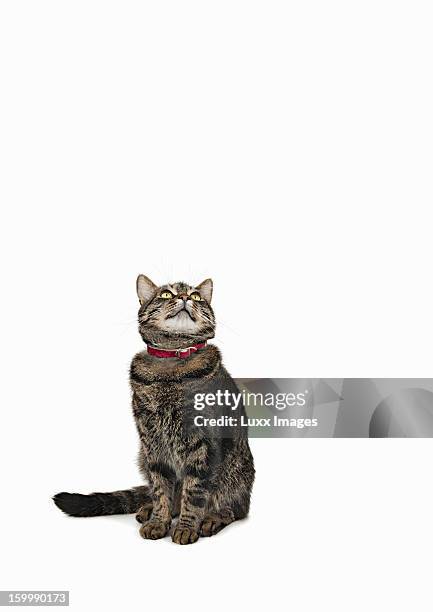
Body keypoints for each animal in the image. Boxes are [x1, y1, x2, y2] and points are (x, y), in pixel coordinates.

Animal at [55, 274, 255, 544]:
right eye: (166, 294)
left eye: (196, 296)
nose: (185, 297)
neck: (171, 365)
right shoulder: (152, 442)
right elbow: (161, 489)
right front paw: (159, 521)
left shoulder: (203, 444)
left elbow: (194, 492)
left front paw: (186, 527)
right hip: (143, 456)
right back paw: (149, 509)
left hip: (237, 474)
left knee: (234, 507)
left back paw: (211, 519)